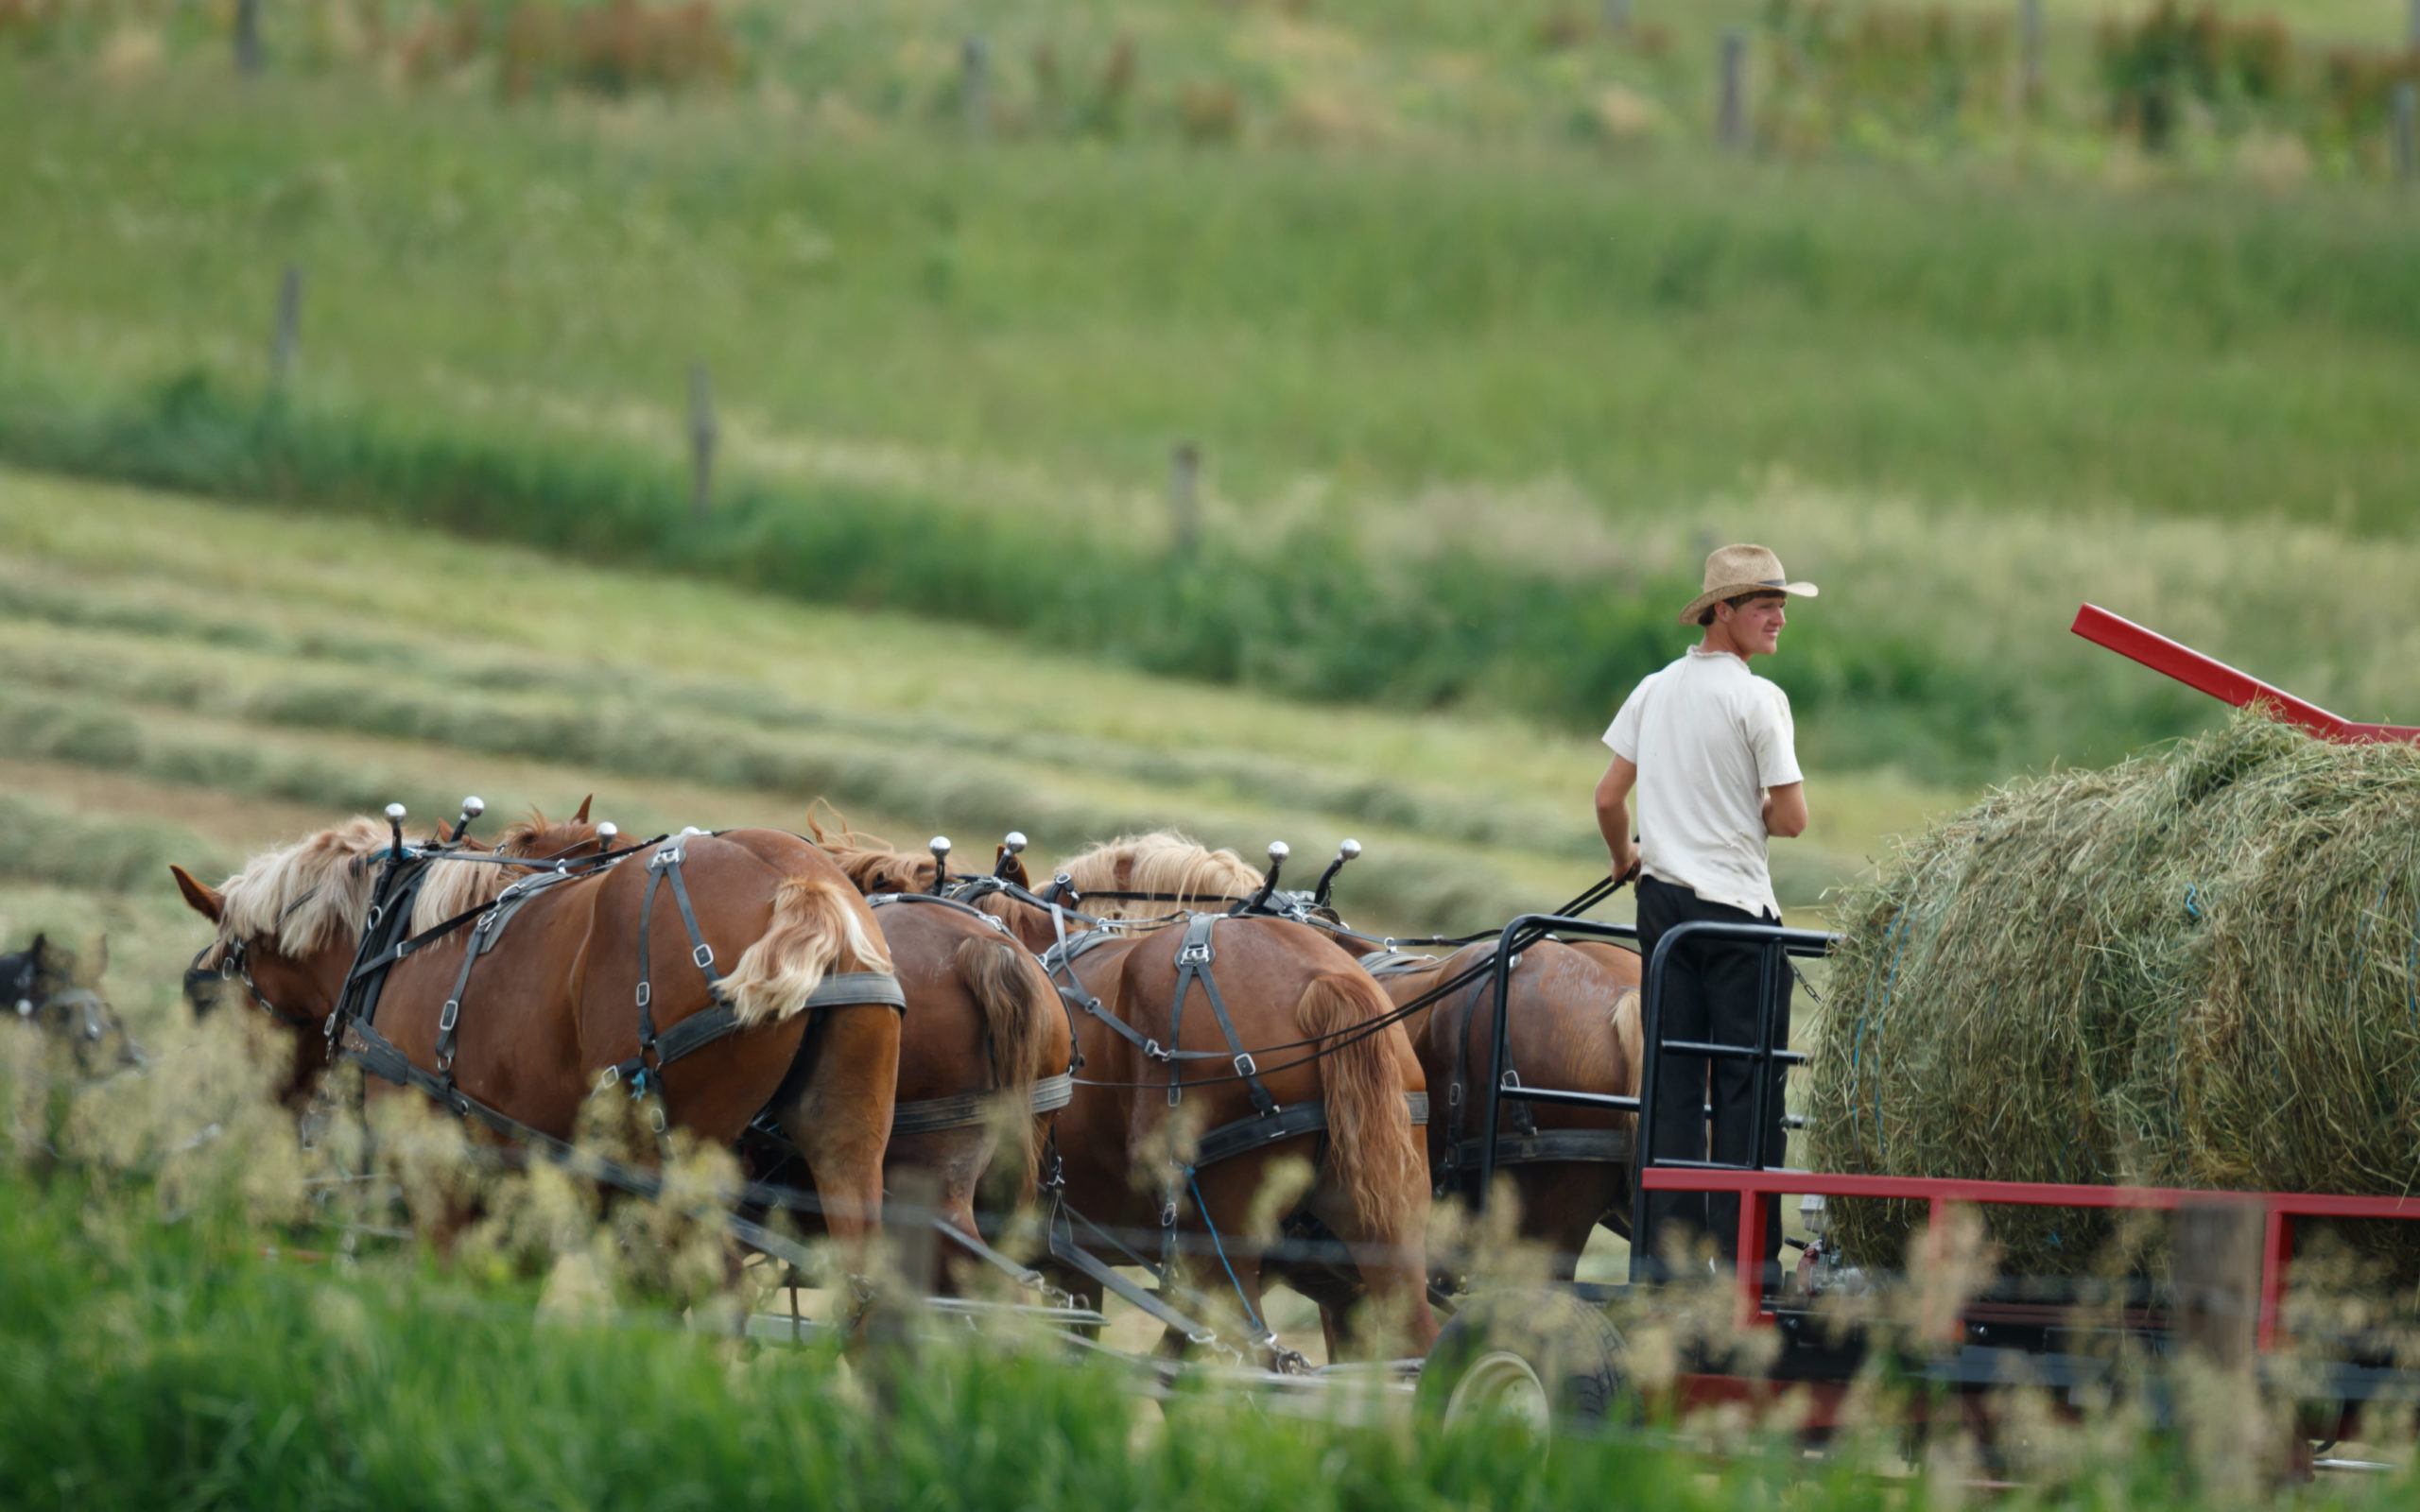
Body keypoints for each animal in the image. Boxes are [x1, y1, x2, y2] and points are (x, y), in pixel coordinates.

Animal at [167, 808, 909, 1247]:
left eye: (201, 998)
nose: (225, 1119)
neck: (393, 938)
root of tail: (802, 886)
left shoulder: (443, 1179)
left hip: (663, 1161)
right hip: (848, 1142)